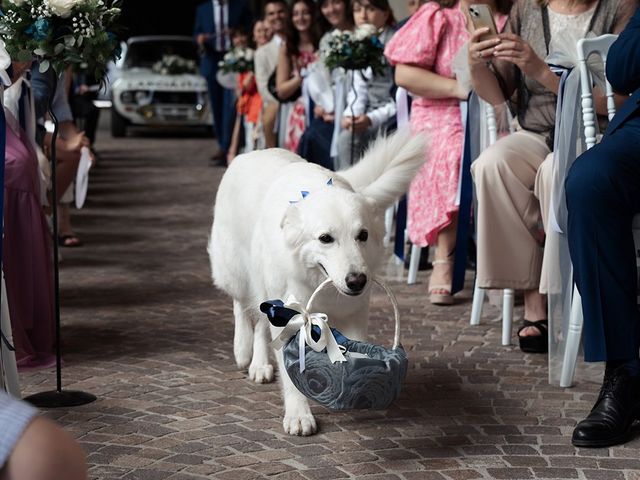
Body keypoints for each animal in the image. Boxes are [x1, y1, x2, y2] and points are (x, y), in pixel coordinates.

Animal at [209, 130, 424, 436]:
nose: (357, 281)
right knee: (241, 305)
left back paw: (260, 365)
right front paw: (299, 415)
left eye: (362, 235)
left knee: (259, 322)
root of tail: (248, 153)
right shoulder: (288, 315)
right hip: (238, 270)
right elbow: (292, 372)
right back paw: (243, 350)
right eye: (325, 239)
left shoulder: (354, 313)